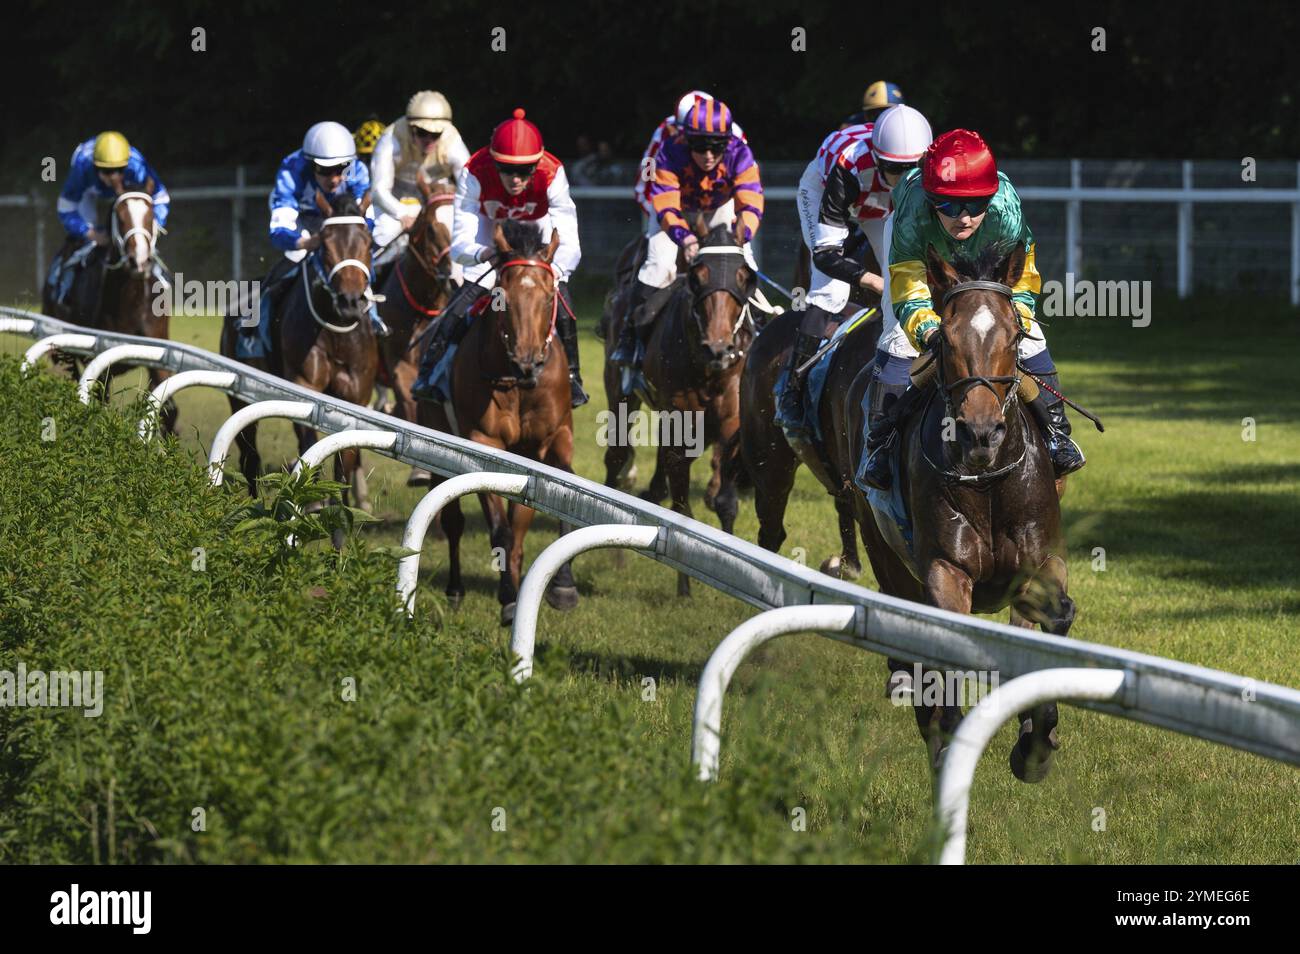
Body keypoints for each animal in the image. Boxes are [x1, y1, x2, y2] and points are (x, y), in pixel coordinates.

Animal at [44, 181, 176, 434]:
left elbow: (169, 409)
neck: (132, 303)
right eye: (121, 217)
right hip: (66, 354)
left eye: (150, 216)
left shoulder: (159, 355)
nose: (139, 261)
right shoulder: (100, 367)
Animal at [219, 188, 379, 514]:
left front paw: (344, 508)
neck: (336, 331)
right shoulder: (305, 385)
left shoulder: (357, 395)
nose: (350, 302)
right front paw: (314, 500)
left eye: (368, 242)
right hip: (239, 396)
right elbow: (308, 441)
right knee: (250, 457)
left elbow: (346, 459)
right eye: (325, 244)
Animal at [374, 175, 460, 486]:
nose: (453, 279)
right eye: (432, 229)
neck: (423, 305)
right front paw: (420, 469)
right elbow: (409, 403)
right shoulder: (398, 361)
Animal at [418, 218, 577, 629]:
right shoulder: (484, 443)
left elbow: (523, 524)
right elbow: (500, 527)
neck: (516, 383)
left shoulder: (544, 446)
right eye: (502, 296)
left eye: (549, 297)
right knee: (452, 519)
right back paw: (456, 588)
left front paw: (558, 587)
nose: (527, 363)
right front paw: (508, 598)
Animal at [598, 224, 754, 597]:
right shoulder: (681, 421)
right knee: (617, 457)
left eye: (743, 276)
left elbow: (724, 499)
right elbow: (682, 505)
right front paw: (684, 586)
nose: (719, 349)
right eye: (699, 276)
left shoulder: (728, 424)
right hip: (619, 391)